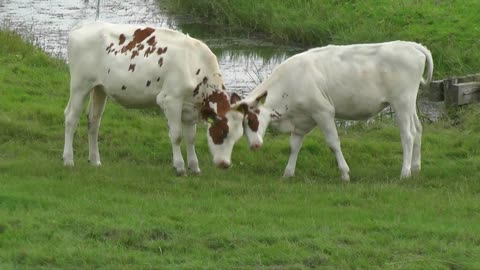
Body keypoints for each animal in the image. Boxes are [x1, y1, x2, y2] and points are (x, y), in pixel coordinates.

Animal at [62, 21, 244, 175]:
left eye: (237, 137)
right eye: (223, 132)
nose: (225, 164)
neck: (194, 62)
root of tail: (82, 25)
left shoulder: (190, 106)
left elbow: (190, 137)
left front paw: (194, 167)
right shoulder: (170, 99)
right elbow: (177, 135)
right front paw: (179, 167)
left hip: (99, 88)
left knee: (93, 121)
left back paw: (95, 161)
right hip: (80, 84)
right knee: (71, 117)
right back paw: (68, 160)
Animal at [237, 41, 436, 180]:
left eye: (252, 120)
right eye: (242, 126)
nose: (254, 145)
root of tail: (411, 45)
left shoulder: (323, 111)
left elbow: (333, 143)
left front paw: (345, 173)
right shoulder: (302, 120)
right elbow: (294, 146)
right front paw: (288, 173)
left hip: (402, 103)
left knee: (408, 135)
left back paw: (405, 173)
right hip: (410, 104)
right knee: (418, 129)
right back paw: (416, 168)